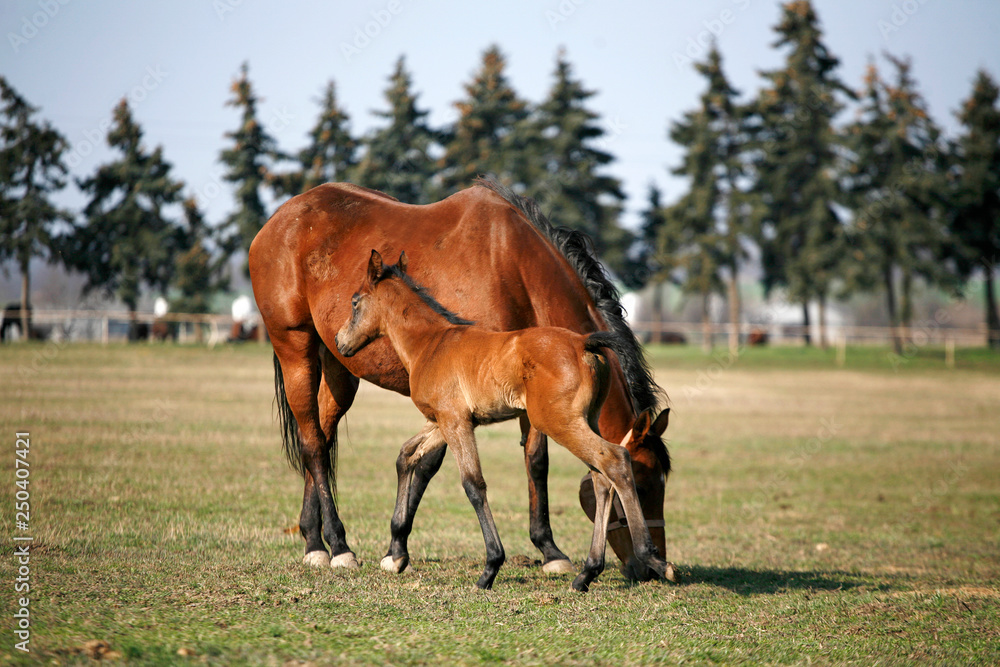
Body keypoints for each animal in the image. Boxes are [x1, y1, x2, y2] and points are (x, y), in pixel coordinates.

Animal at [334, 249, 676, 591]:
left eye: (354, 301)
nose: (339, 341)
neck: (431, 343)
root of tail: (583, 343)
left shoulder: (455, 421)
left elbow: (473, 483)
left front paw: (491, 567)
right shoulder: (442, 421)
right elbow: (406, 454)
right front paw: (396, 555)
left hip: (559, 421)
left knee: (614, 460)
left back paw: (651, 557)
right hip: (584, 420)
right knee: (601, 477)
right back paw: (587, 573)